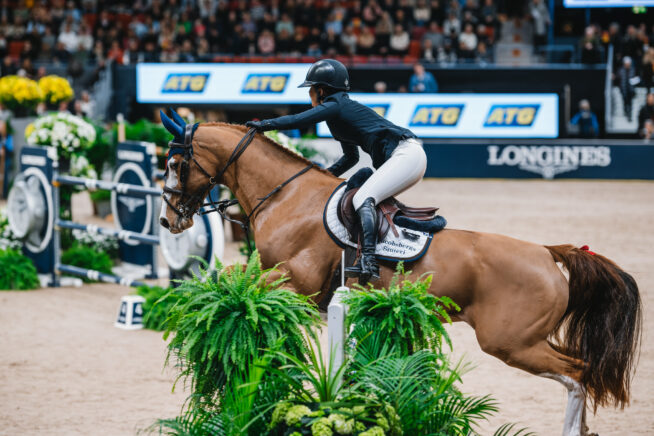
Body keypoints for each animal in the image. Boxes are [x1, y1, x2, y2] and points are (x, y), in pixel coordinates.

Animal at [160, 115, 644, 436]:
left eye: (175, 165)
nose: (168, 220)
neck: (286, 196)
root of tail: (547, 253)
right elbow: (228, 281)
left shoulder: (293, 282)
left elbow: (236, 288)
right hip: (525, 340)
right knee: (581, 371)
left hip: (511, 342)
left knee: (579, 373)